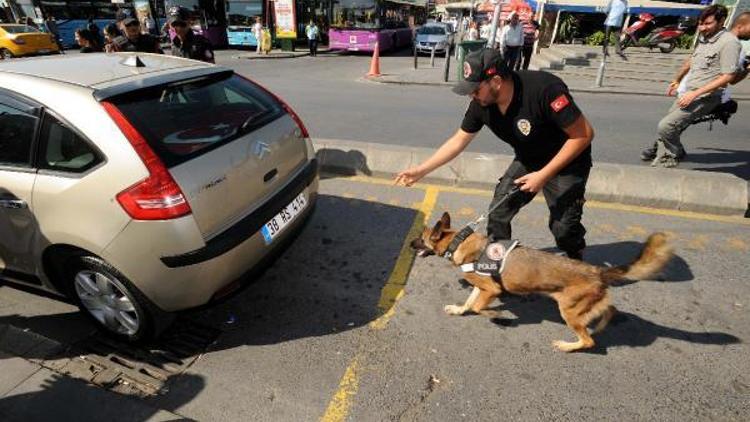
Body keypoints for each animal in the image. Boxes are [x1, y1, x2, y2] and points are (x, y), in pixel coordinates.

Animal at [412, 211, 676, 352]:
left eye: (421, 238)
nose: (410, 244)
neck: (458, 241)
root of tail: (596, 271)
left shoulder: (491, 289)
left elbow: (477, 307)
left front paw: (495, 315)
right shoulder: (481, 287)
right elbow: (469, 303)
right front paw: (459, 310)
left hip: (569, 311)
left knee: (588, 341)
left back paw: (568, 346)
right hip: (582, 306)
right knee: (609, 309)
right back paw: (601, 323)